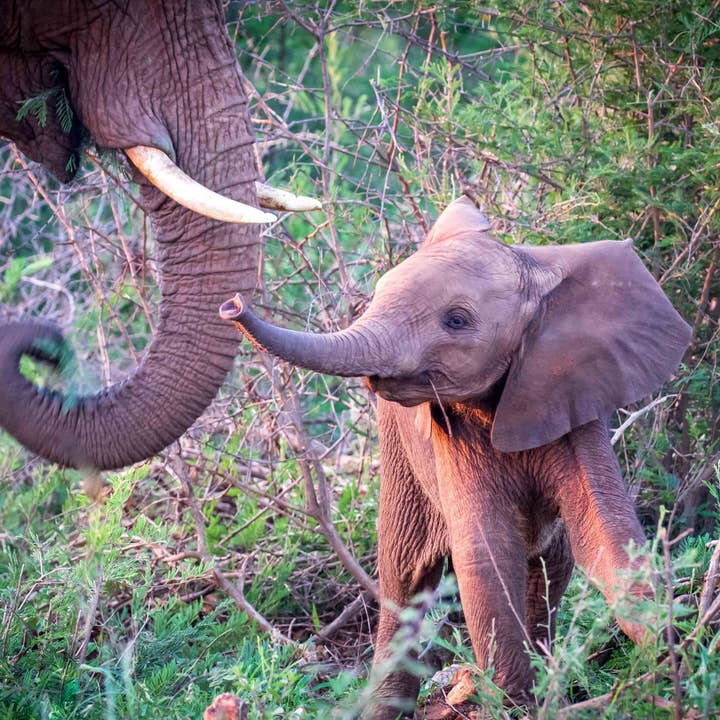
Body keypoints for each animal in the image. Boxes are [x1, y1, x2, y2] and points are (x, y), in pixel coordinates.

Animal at [220, 196, 693, 718]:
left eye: (457, 321)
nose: (232, 303)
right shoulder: (453, 438)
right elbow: (485, 555)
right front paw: (511, 707)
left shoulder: (574, 398)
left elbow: (606, 535)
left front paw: (672, 657)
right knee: (403, 573)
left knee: (550, 564)